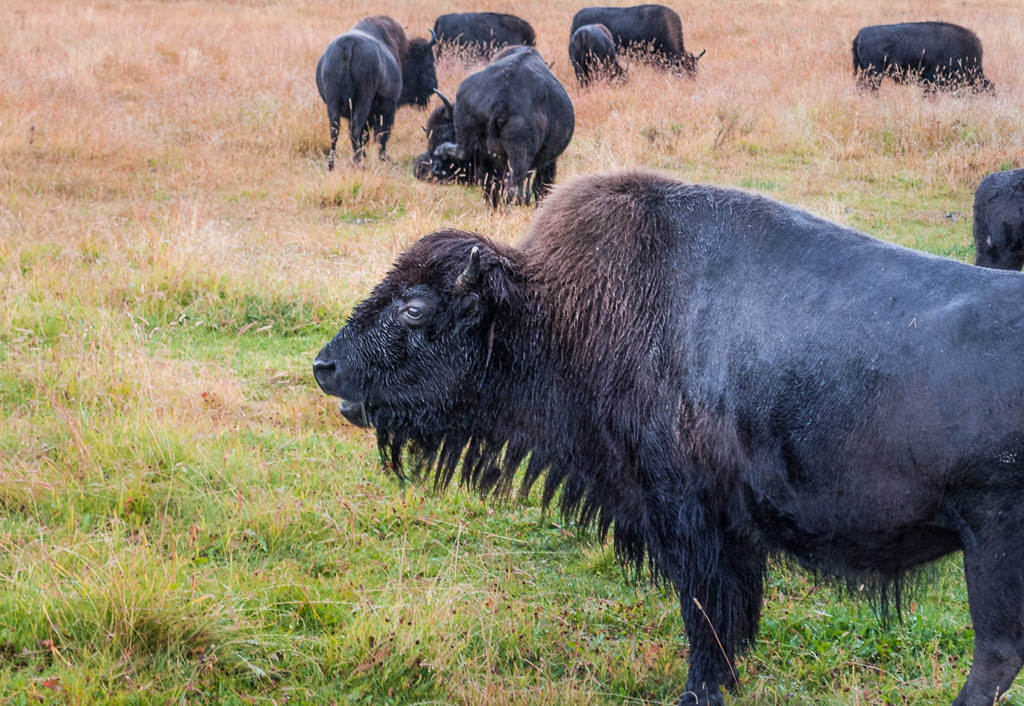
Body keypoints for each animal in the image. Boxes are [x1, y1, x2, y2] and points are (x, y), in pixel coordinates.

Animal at [315, 169, 1024, 706]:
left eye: (416, 308)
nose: (325, 367)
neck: (561, 311)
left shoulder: (689, 516)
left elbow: (707, 619)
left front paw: (697, 693)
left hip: (991, 544)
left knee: (995, 653)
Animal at [316, 16, 437, 169]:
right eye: (428, 61)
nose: (434, 85)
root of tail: (348, 44)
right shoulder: (388, 108)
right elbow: (382, 134)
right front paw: (384, 158)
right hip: (364, 102)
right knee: (356, 129)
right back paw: (360, 163)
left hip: (333, 104)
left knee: (335, 131)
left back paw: (332, 165)